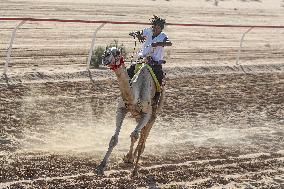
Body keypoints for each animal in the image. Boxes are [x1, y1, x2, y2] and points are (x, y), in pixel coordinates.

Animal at [96, 46, 165, 176]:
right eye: (107, 50)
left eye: (117, 52)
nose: (105, 56)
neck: (134, 95)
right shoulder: (122, 109)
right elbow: (114, 139)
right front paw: (101, 166)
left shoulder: (146, 113)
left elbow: (134, 135)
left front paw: (134, 169)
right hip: (137, 115)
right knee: (142, 131)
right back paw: (132, 156)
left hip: (154, 111)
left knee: (145, 131)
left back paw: (135, 156)